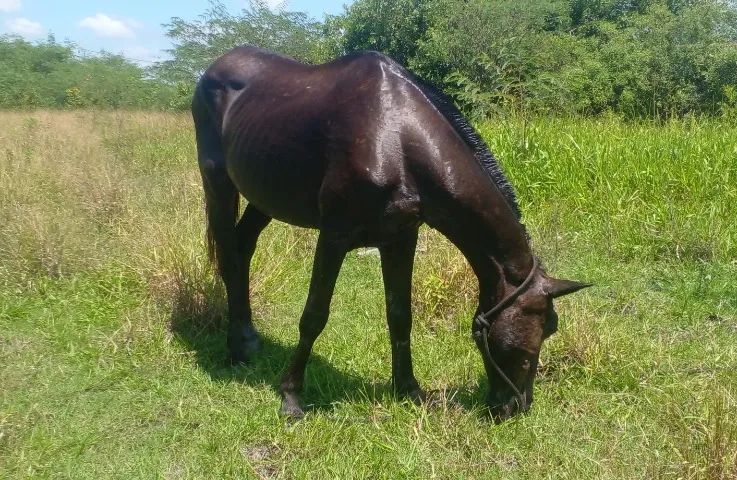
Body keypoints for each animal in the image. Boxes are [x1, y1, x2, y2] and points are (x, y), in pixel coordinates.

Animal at [191, 46, 590, 421]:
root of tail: (216, 66)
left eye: (551, 328)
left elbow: (400, 314)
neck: (394, 138)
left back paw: (247, 339)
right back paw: (236, 348)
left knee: (242, 248)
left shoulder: (400, 238)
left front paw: (409, 389)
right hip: (218, 182)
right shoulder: (334, 237)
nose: (516, 406)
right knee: (229, 256)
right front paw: (291, 396)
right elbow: (314, 315)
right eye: (535, 329)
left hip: (266, 198)